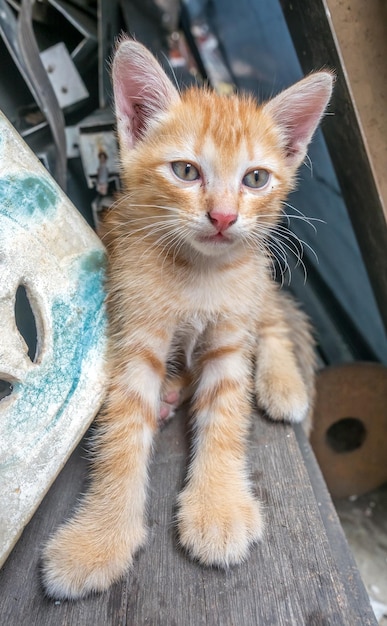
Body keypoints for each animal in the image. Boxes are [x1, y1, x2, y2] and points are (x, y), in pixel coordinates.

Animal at [41, 36, 334, 596]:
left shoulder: (230, 333)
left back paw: (283, 384)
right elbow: (121, 433)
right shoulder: (135, 334)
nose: (223, 216)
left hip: (259, 280)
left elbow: (226, 413)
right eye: (185, 171)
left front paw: (218, 507)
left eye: (256, 178)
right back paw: (172, 391)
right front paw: (98, 538)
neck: (199, 273)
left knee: (273, 322)